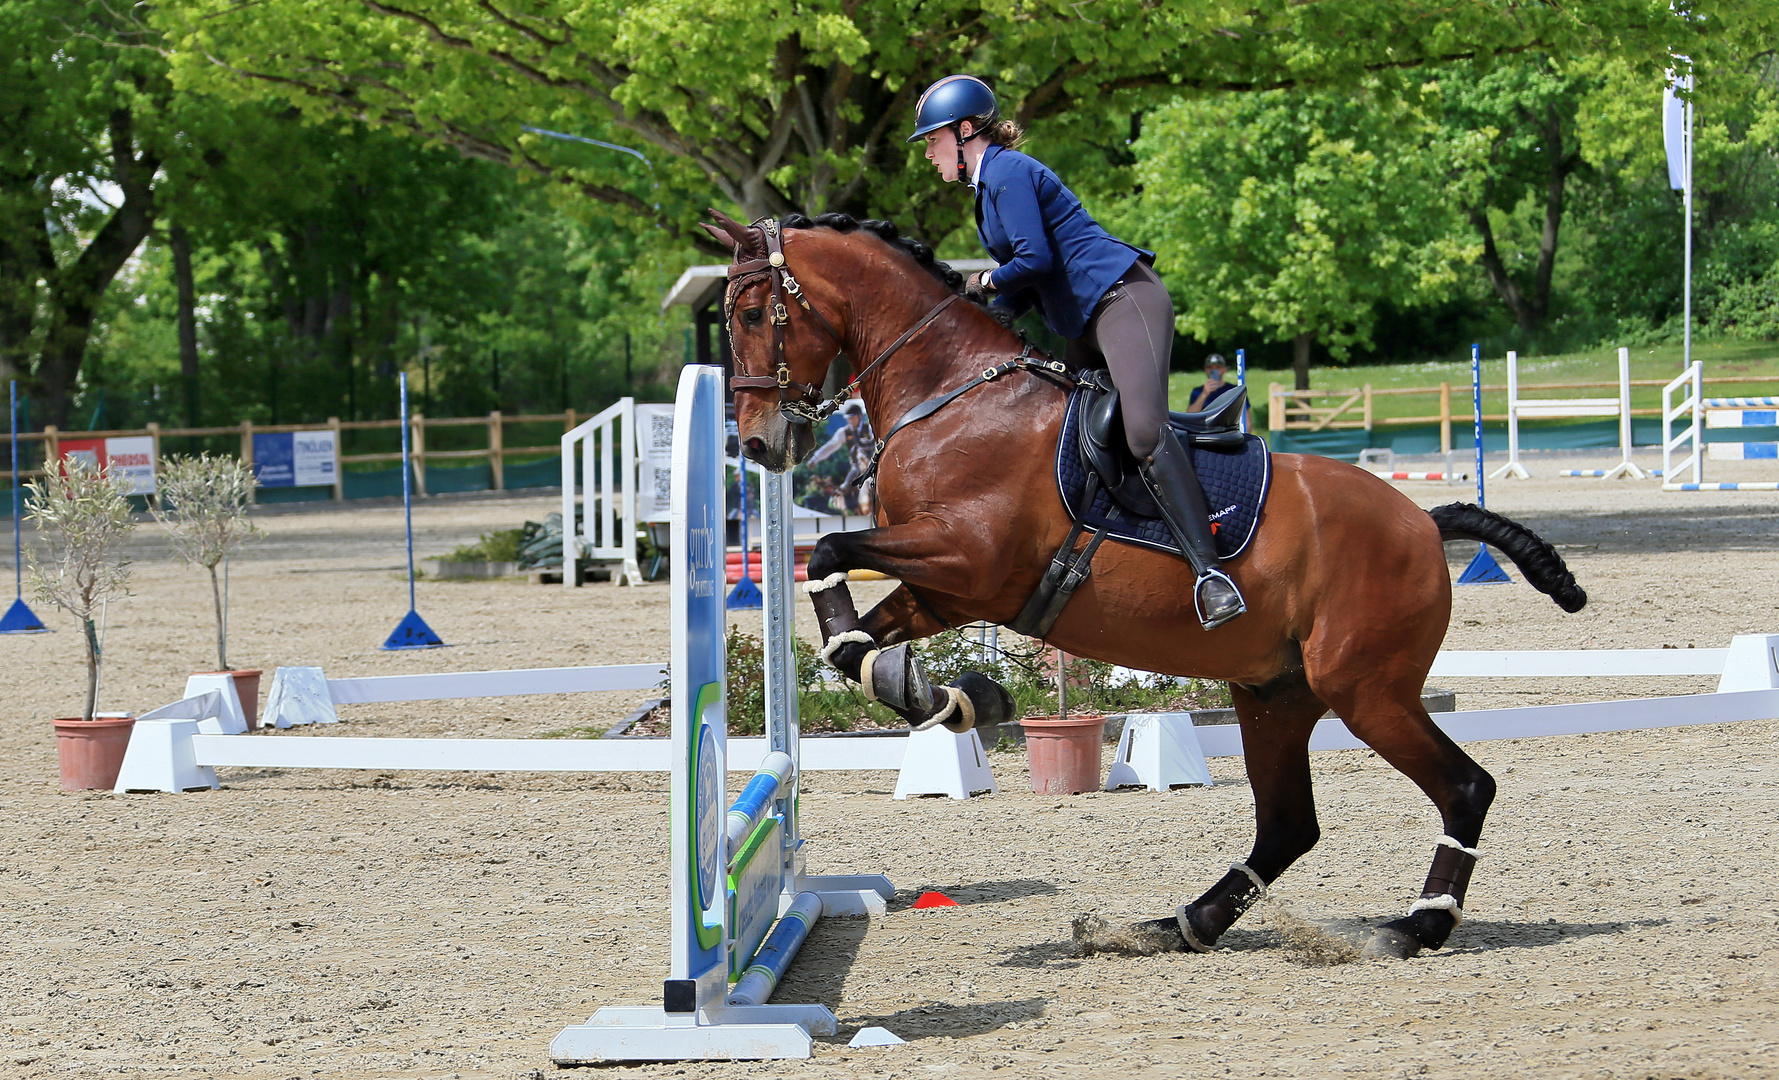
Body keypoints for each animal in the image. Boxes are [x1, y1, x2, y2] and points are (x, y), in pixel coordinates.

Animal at [697, 207, 1586, 960]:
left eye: (752, 315)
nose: (758, 444)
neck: (949, 396)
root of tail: (1421, 524)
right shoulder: (951, 588)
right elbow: (855, 640)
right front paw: (947, 698)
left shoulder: (967, 558)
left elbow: (827, 550)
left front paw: (944, 693)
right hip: (1274, 694)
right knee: (1287, 826)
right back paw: (1179, 925)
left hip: (1365, 689)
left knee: (1463, 786)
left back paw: (1415, 926)